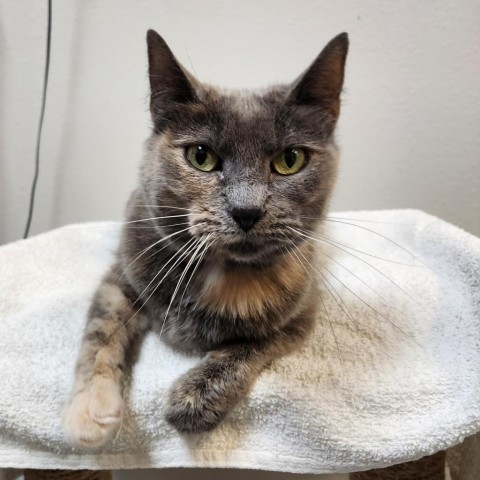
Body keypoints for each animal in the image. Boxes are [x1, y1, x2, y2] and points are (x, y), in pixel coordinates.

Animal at [63, 28, 348, 448]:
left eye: (290, 160)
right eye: (201, 156)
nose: (246, 210)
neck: (222, 273)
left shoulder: (303, 310)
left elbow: (248, 346)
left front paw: (193, 400)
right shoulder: (124, 272)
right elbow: (100, 329)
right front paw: (89, 412)